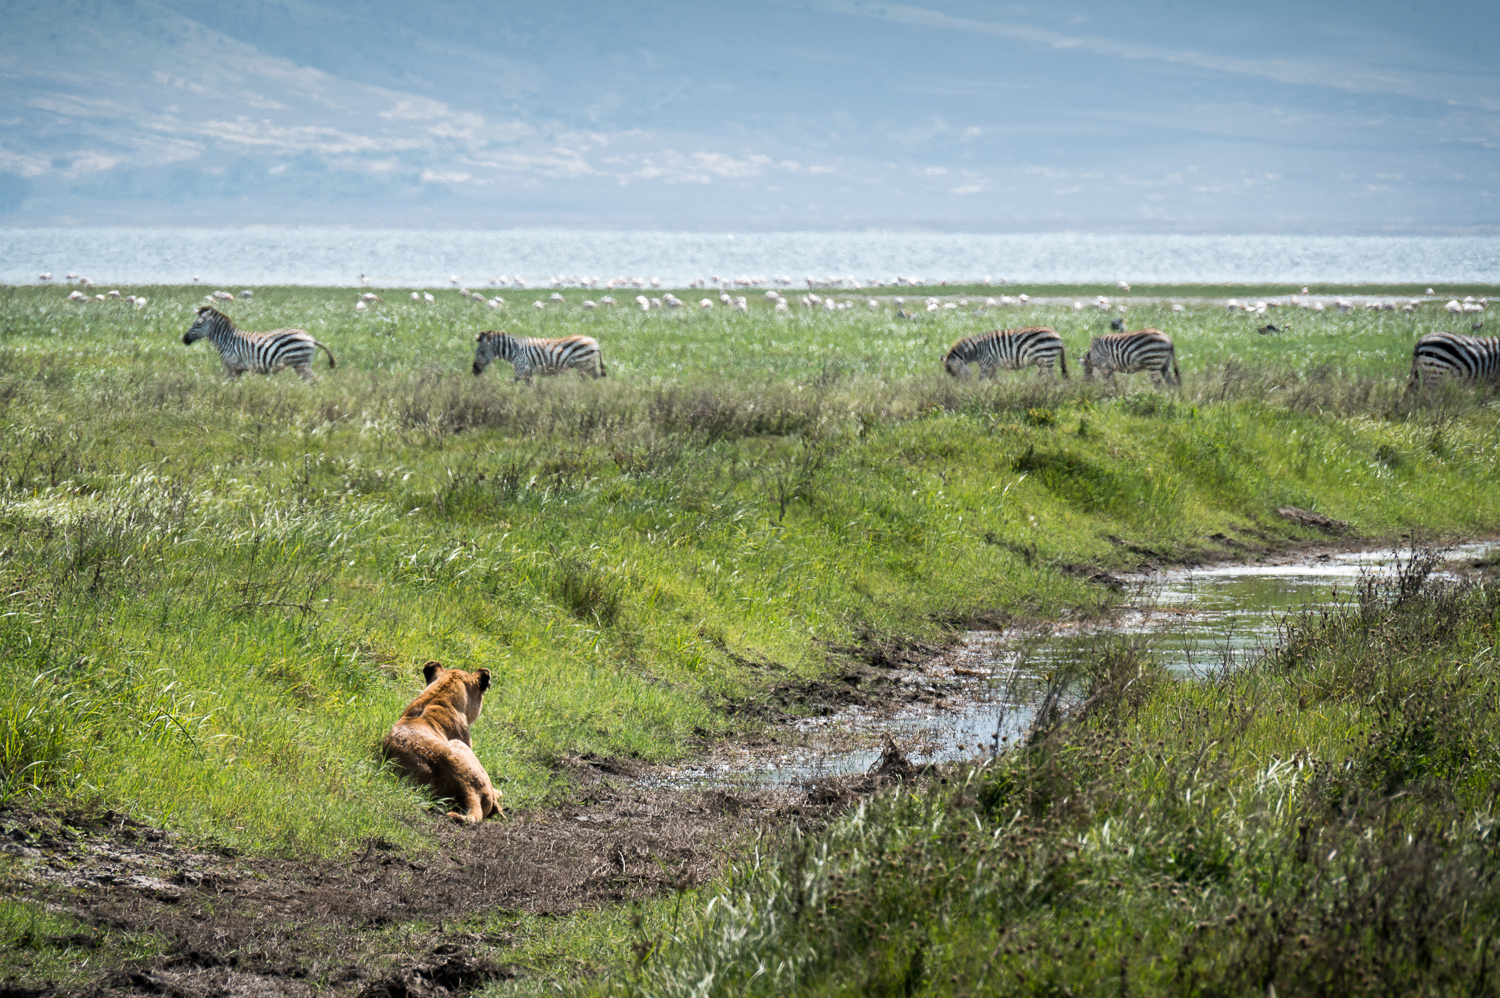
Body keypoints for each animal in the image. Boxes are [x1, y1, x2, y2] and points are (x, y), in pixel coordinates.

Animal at [180, 303, 334, 381]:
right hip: (301, 365)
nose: (184, 340)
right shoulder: (238, 370)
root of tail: (311, 338)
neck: (227, 340)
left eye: (198, 324)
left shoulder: (232, 367)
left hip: (301, 364)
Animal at [471, 333, 606, 382]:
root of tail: (595, 342)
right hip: (586, 366)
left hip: (585, 365)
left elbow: (510, 382)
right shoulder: (526, 372)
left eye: (482, 352)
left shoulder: (522, 369)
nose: (474, 371)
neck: (514, 351)